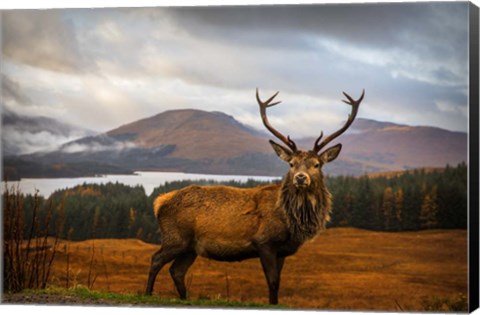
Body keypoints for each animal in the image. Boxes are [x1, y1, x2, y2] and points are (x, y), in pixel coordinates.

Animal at [145, 87, 364, 304]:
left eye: (317, 164)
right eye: (291, 164)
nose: (301, 178)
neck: (291, 222)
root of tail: (159, 202)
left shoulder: (282, 250)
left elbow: (278, 282)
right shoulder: (263, 242)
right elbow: (273, 282)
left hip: (191, 247)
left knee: (177, 270)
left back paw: (185, 299)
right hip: (176, 237)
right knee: (156, 259)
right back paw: (147, 293)